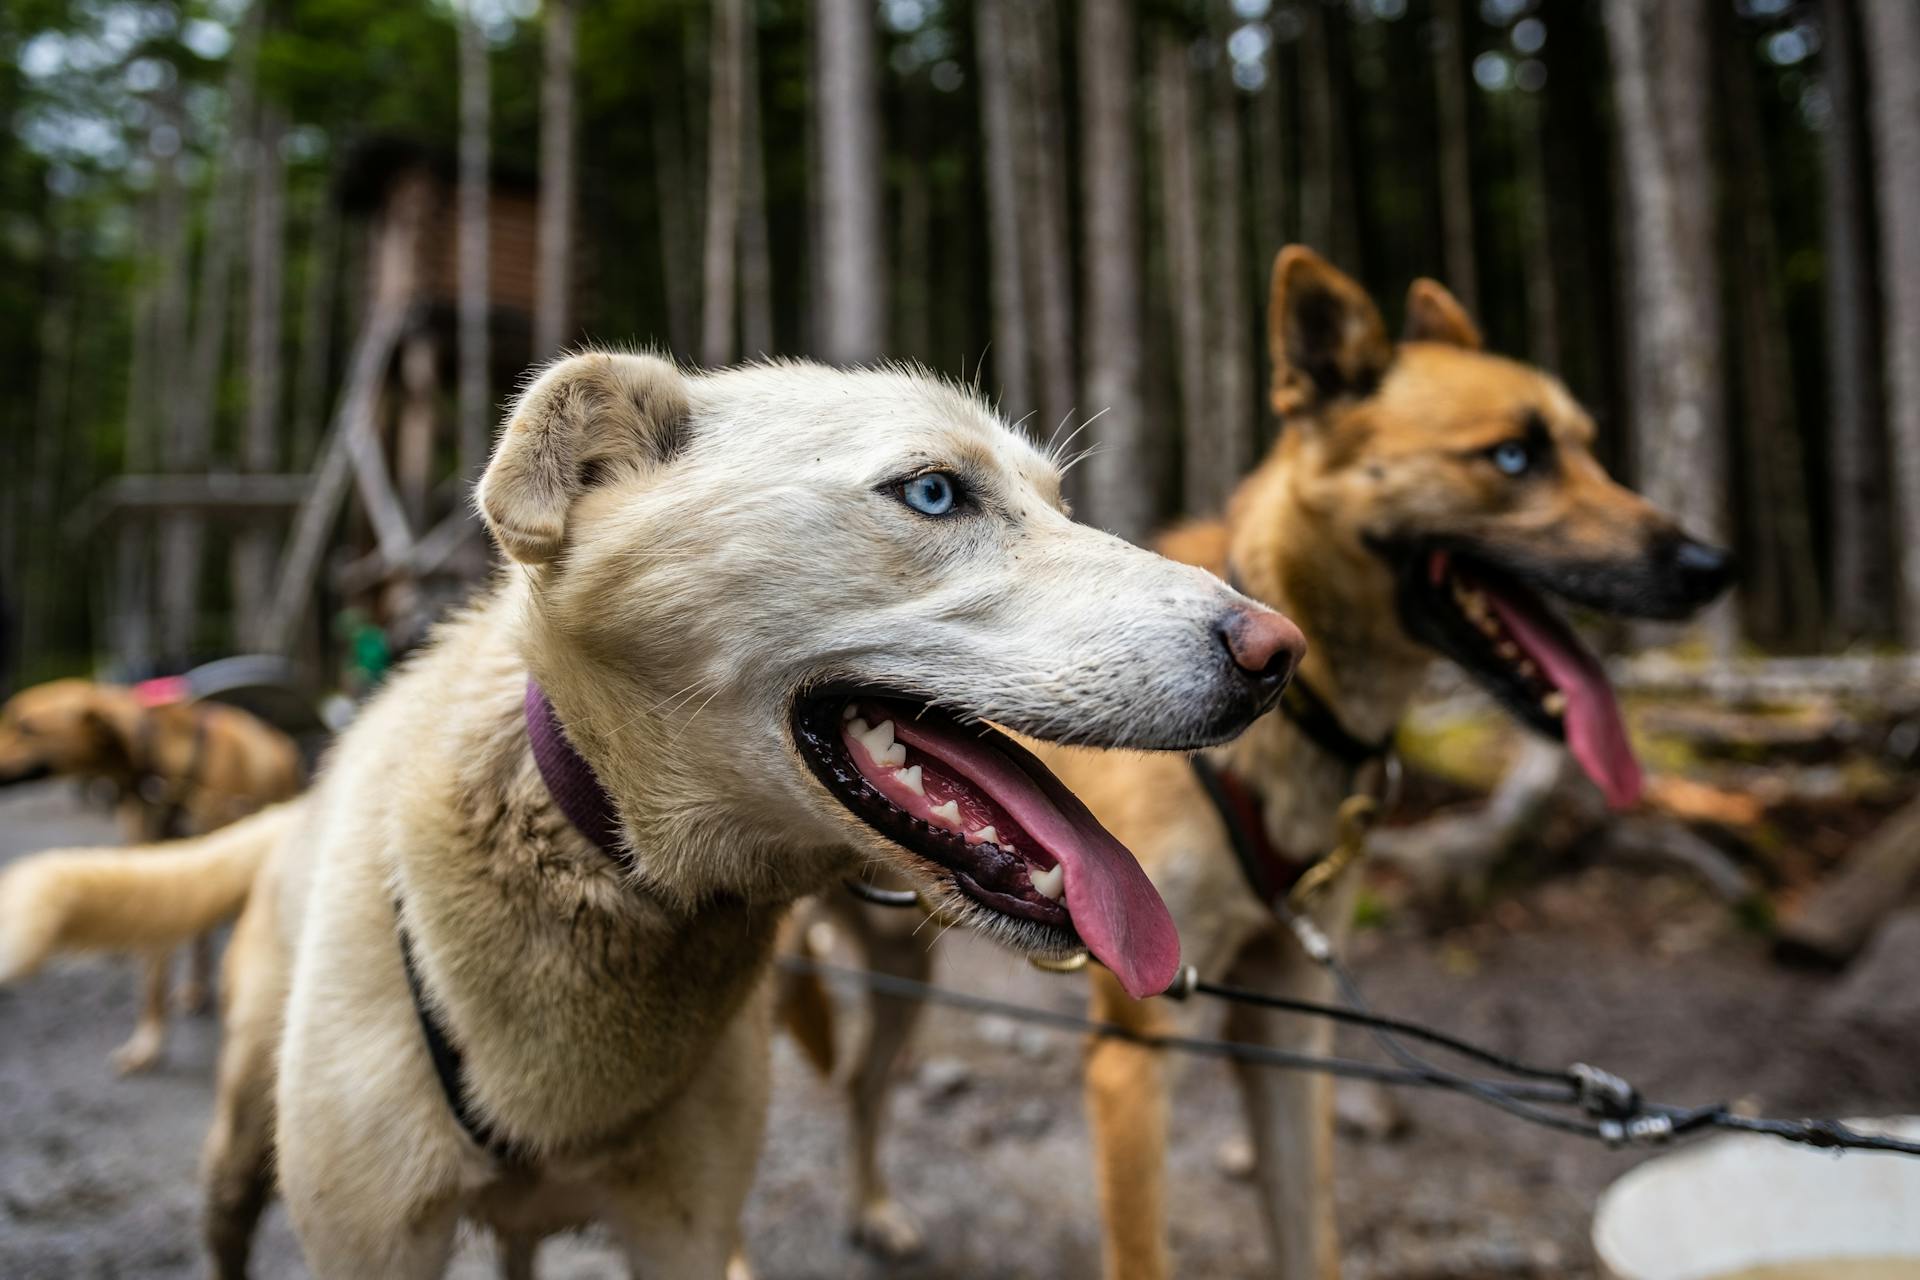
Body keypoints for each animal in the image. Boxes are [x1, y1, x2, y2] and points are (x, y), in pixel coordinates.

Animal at [0, 679, 301, 1074]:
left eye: (26, 727)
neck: (167, 770)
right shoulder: (159, 870)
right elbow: (154, 973)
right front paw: (148, 1045)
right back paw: (198, 990)